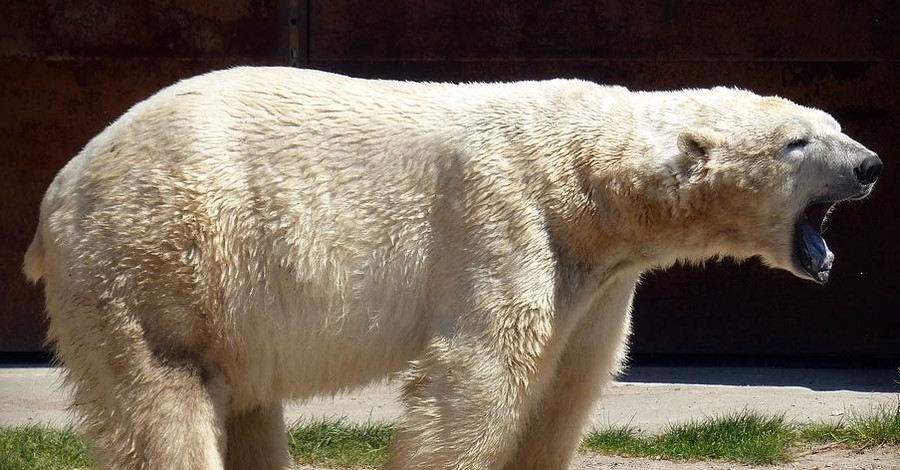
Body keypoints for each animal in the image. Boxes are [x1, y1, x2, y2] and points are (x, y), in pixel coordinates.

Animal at [22, 67, 880, 470]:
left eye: (832, 122)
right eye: (799, 143)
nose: (871, 164)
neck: (590, 181)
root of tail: (61, 188)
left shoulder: (599, 279)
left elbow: (567, 385)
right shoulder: (503, 219)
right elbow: (479, 376)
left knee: (245, 405)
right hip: (160, 258)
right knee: (164, 395)